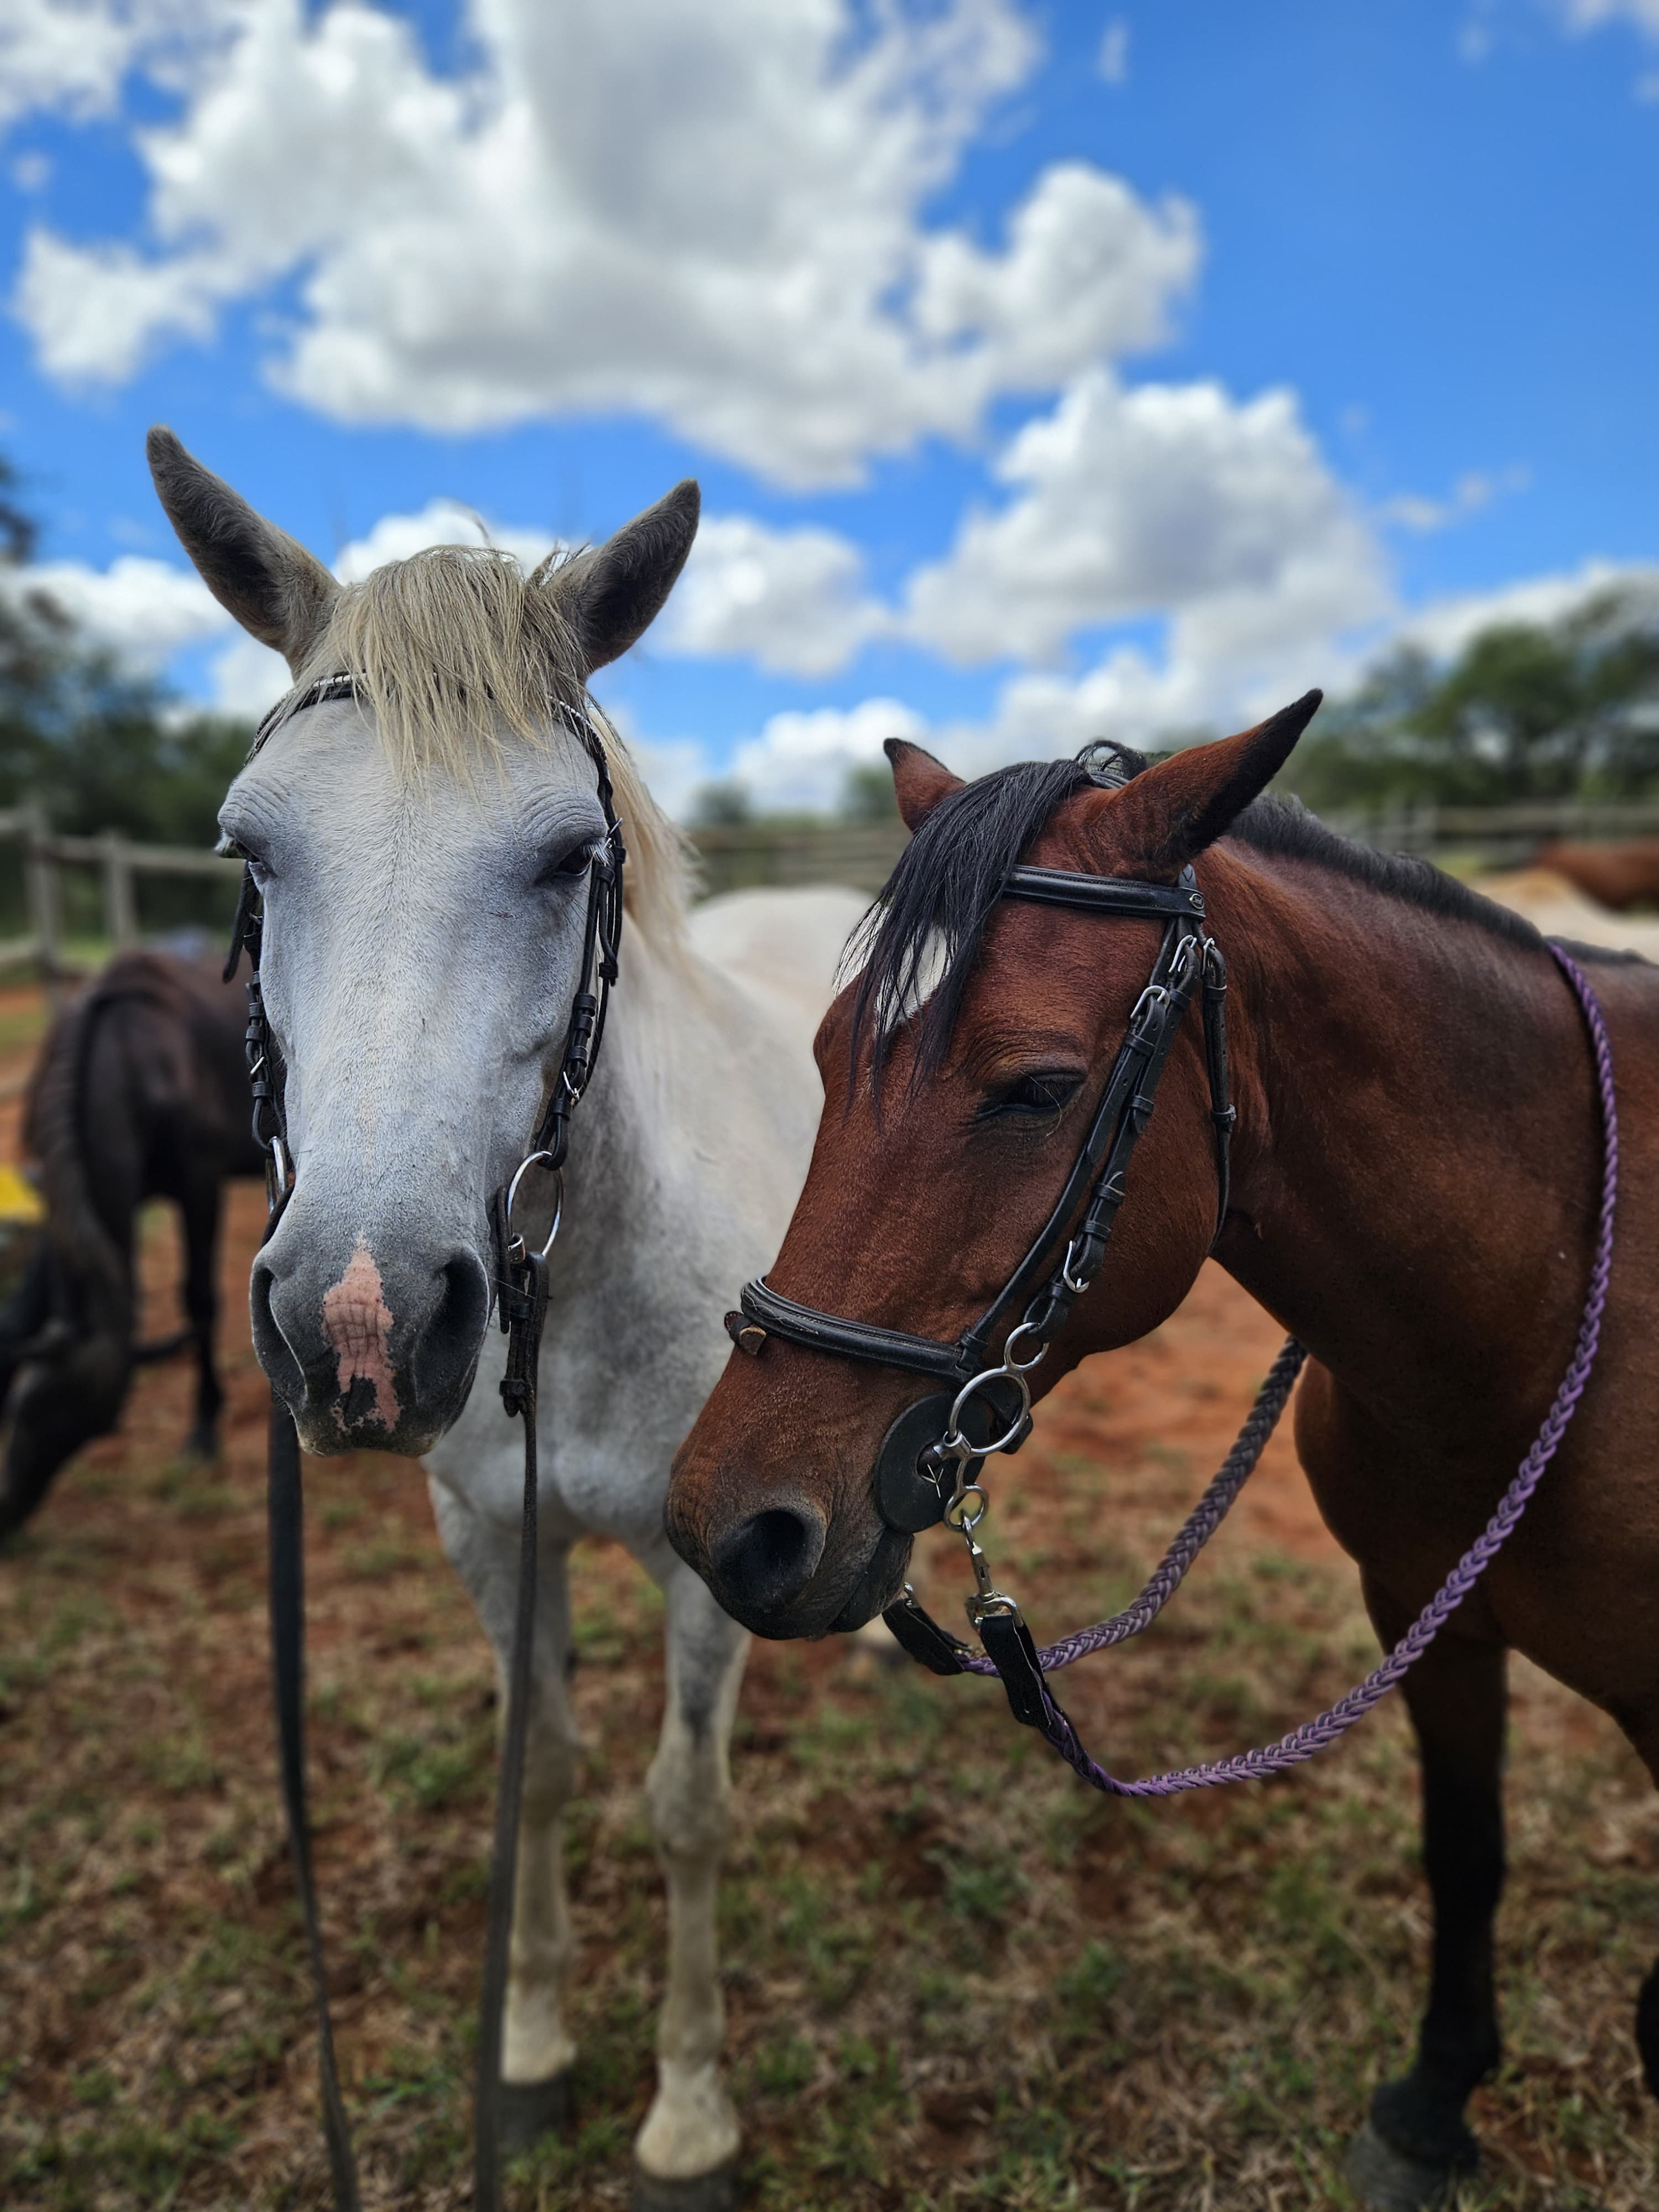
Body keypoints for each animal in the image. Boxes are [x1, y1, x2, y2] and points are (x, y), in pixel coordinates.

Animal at [0, 950, 263, 1542]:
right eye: (24, 1412)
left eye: (91, 1434)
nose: (10, 1514)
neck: (124, 1053)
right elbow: (25, 1309)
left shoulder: (200, 1183)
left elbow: (199, 1300)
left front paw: (204, 1427)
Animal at [145, 426, 864, 2208]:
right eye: (249, 855)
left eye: (568, 860)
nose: (360, 1322)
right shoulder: (487, 1529)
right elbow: (536, 1767)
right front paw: (529, 2051)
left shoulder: (701, 1567)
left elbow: (688, 1808)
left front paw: (686, 2115)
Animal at [665, 700, 1659, 2209]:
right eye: (830, 1058)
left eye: (1036, 1088)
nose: (734, 1524)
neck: (1545, 1315)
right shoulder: (1429, 1619)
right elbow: (1466, 1852)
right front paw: (1431, 2104)